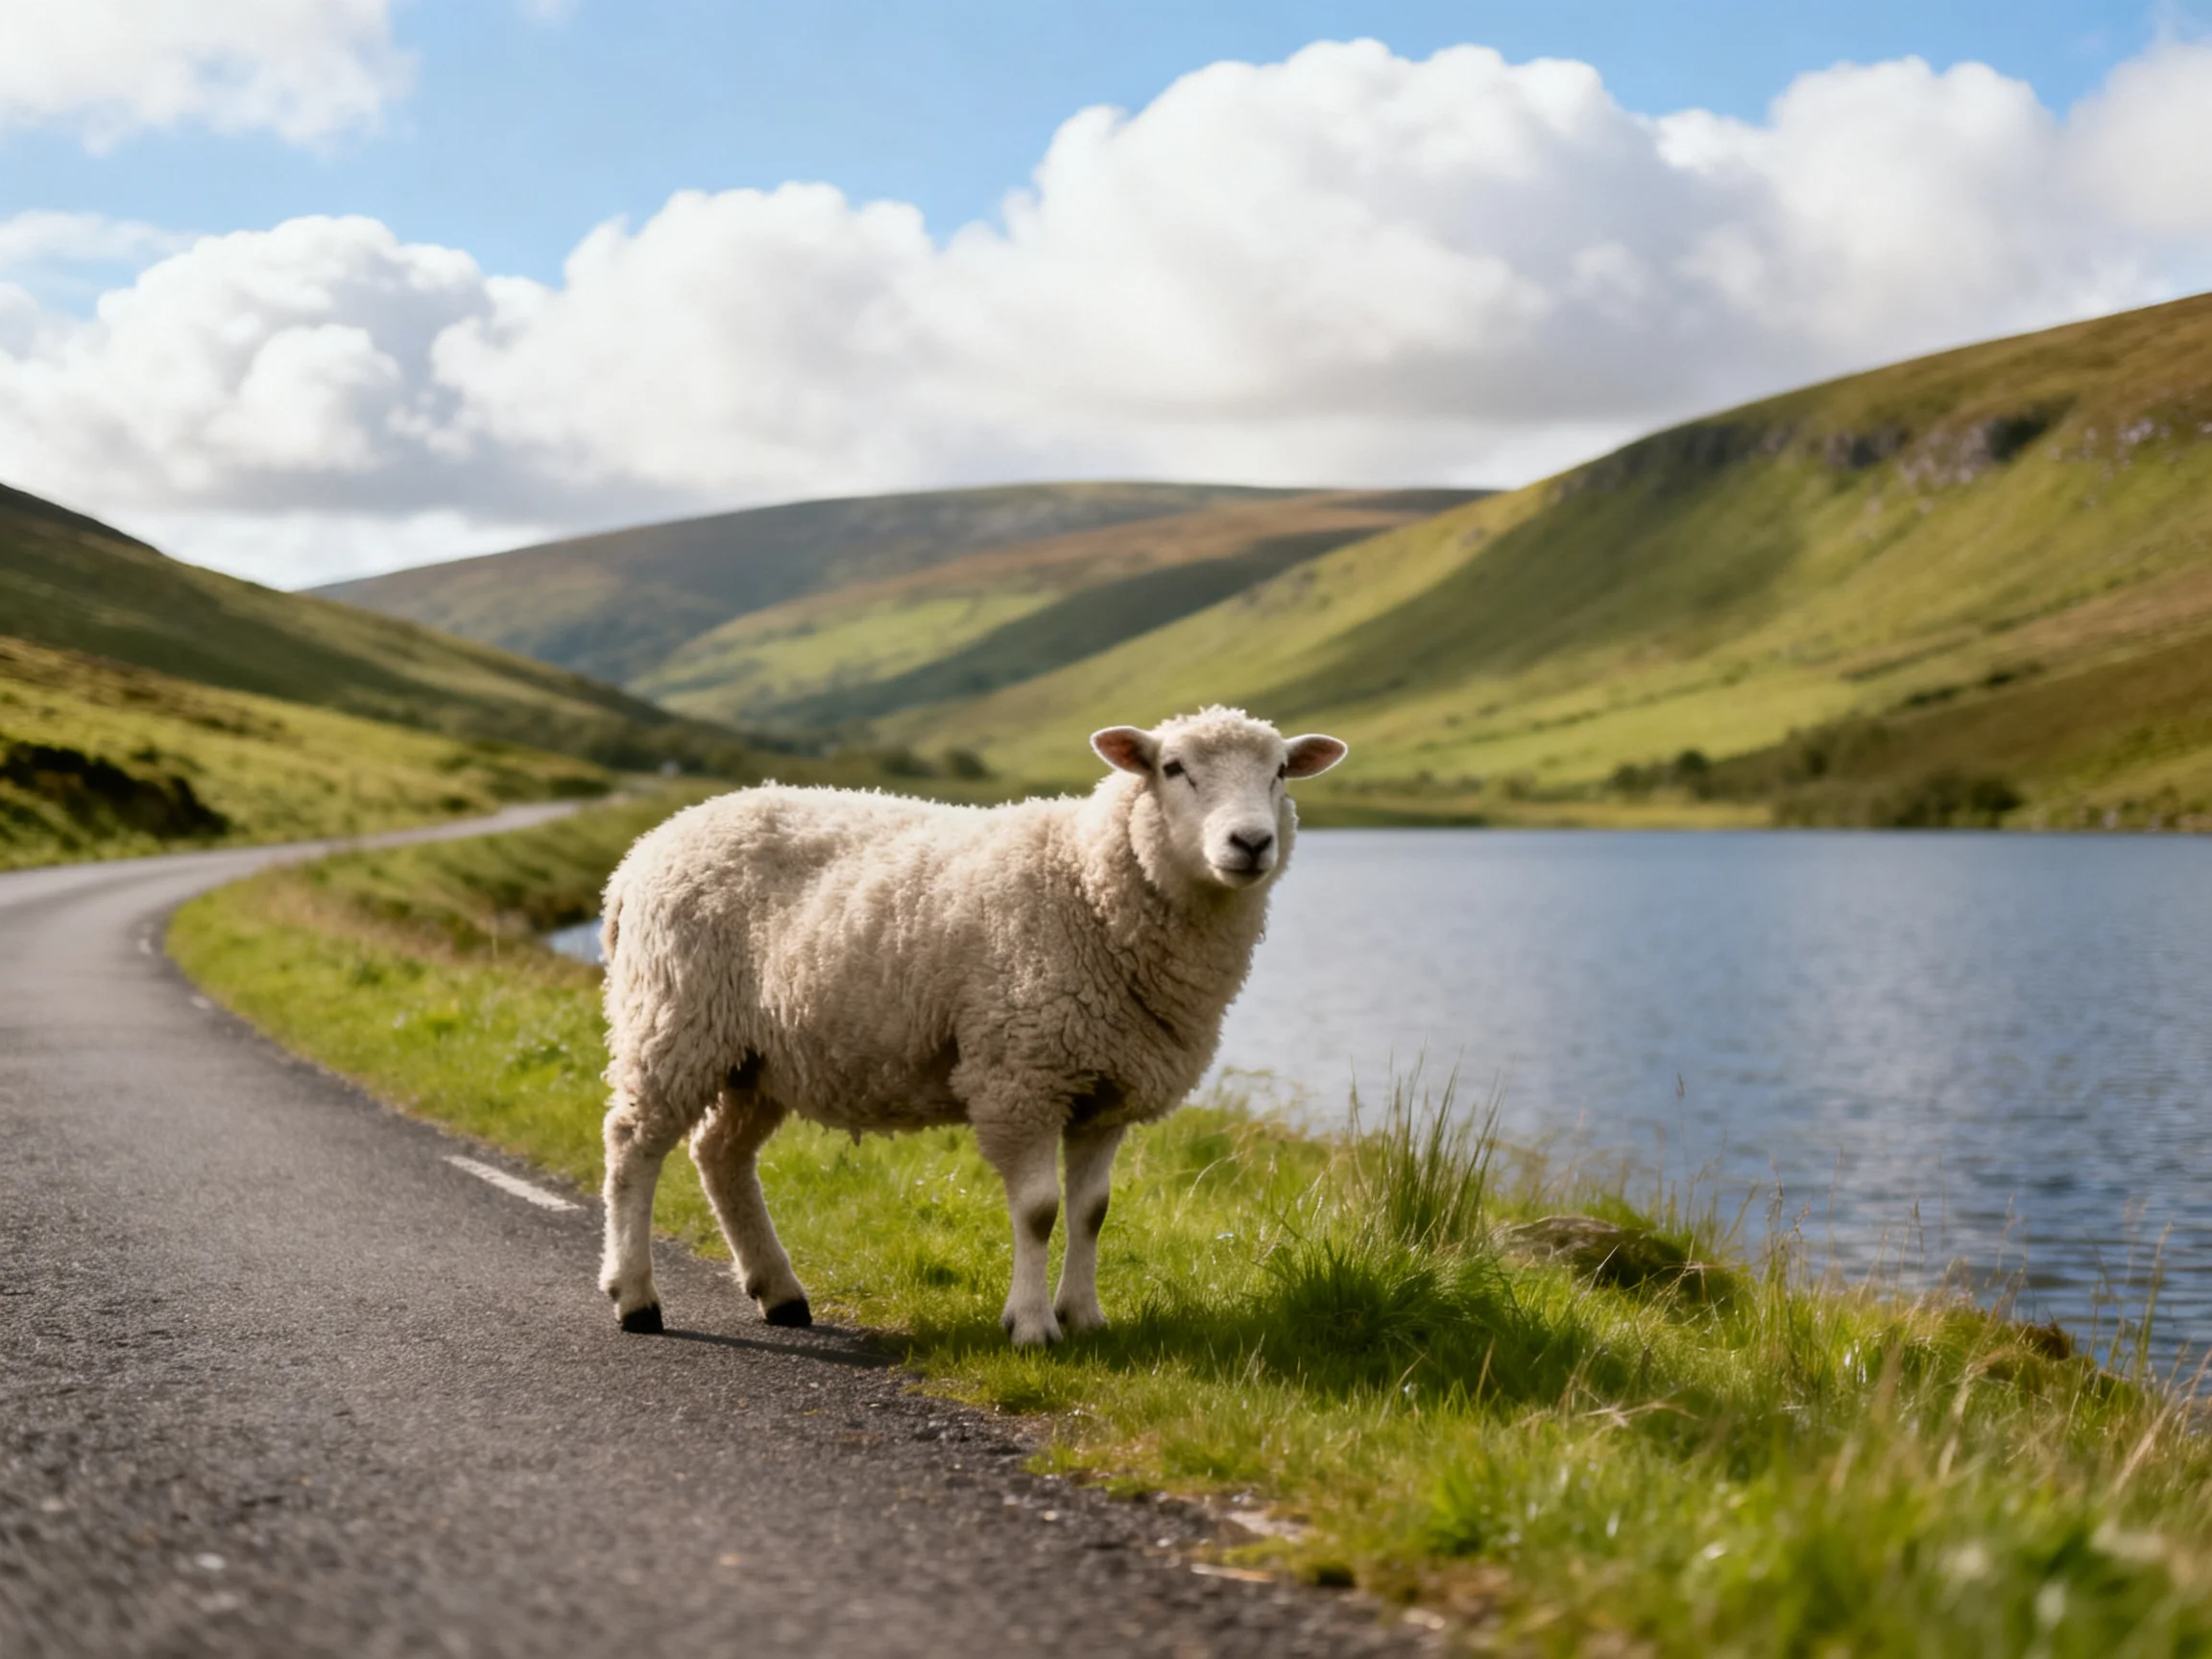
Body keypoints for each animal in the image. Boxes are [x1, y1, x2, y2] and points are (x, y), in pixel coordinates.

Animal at [594, 706, 1347, 1347]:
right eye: (1173, 767)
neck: (1088, 884)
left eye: (1280, 770)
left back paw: (778, 1292)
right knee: (634, 1144)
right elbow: (1040, 1209)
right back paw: (635, 1297)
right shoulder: (1023, 1075)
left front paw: (1086, 1317)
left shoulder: (1106, 1087)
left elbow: (1093, 1210)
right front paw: (1033, 1326)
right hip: (674, 1018)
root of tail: (642, 851)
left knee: (720, 1155)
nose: (1251, 842)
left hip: (760, 1056)